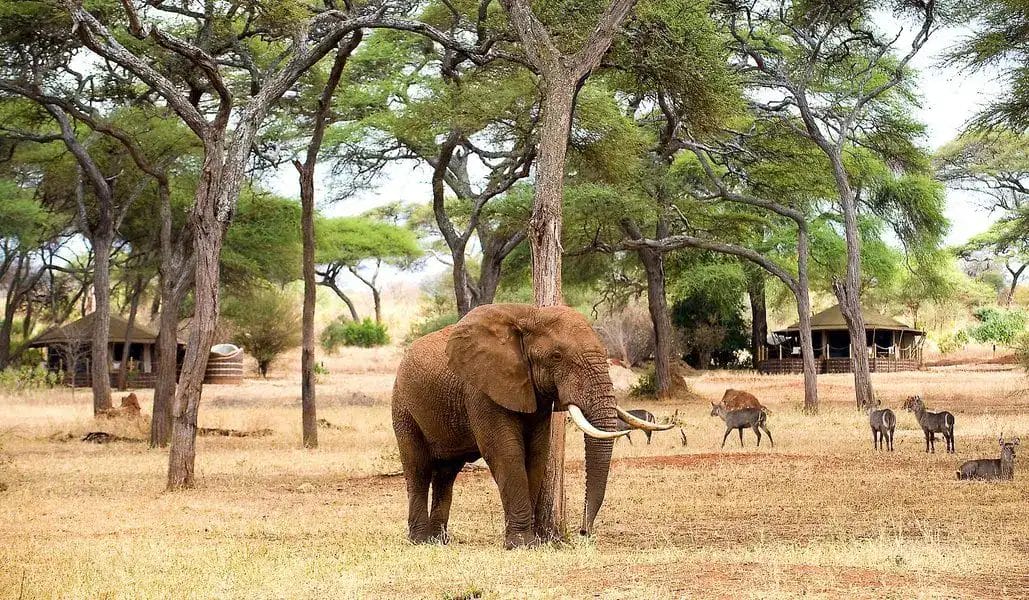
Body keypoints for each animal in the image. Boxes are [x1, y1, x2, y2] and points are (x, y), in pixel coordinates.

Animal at [391, 303, 670, 549]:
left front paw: (533, 541)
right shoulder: (481, 389)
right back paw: (420, 541)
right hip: (402, 408)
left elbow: (536, 454)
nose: (584, 532)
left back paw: (438, 541)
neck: (529, 315)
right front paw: (521, 545)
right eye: (557, 356)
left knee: (446, 474)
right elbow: (506, 453)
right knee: (418, 469)